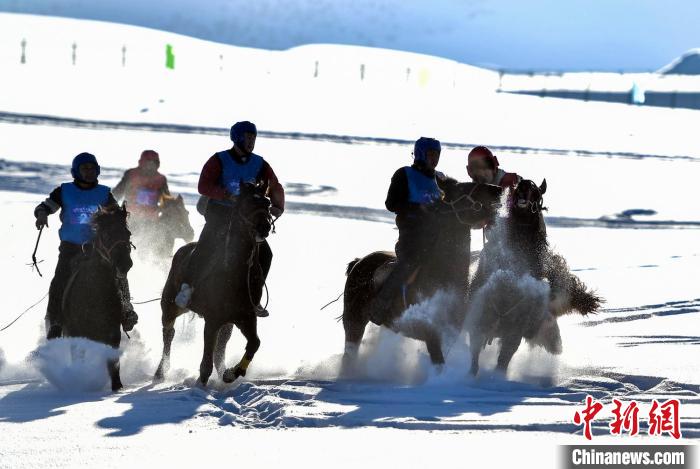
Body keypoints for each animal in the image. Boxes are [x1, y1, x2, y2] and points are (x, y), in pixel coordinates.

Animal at [61, 203, 134, 390]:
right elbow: (78, 357)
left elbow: (113, 360)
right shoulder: (75, 333)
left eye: (128, 233)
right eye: (106, 234)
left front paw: (117, 386)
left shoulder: (112, 332)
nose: (125, 264)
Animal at [154, 183, 272, 384]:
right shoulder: (213, 319)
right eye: (247, 203)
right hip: (169, 306)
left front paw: (232, 372)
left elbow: (254, 343)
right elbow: (206, 362)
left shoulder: (246, 317)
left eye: (267, 202)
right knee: (168, 334)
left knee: (221, 345)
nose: (265, 226)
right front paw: (201, 383)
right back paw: (161, 371)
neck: (235, 274)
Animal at [340, 179, 500, 370]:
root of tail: (359, 261)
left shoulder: (450, 334)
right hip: (353, 320)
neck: (444, 273)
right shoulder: (432, 335)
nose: (497, 189)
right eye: (465, 188)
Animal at [464, 177, 600, 374]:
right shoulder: (482, 322)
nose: (524, 184)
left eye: (537, 192)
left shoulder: (514, 331)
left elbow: (502, 359)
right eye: (515, 188)